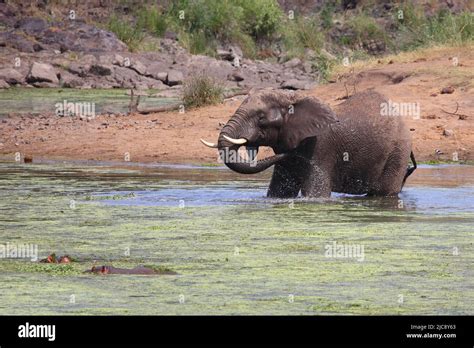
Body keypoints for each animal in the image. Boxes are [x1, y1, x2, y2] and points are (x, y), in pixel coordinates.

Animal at [200, 89, 414, 198]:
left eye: (261, 118)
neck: (291, 99)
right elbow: (279, 191)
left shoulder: (321, 148)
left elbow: (316, 194)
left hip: (398, 152)